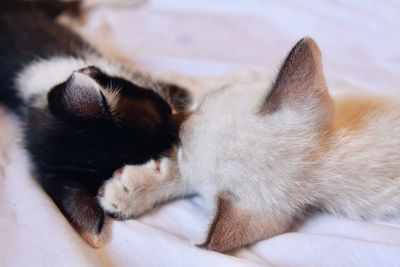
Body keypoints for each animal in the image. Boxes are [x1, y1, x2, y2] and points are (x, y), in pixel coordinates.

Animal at [97, 37, 400, 253]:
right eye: (203, 107)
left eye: (182, 146)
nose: (173, 122)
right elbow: (199, 82)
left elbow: (183, 175)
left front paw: (128, 192)